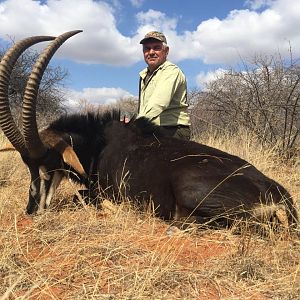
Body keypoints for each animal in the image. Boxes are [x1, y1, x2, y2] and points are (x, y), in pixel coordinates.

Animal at [0, 31, 298, 227]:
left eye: (50, 163)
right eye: (28, 166)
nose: (31, 210)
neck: (100, 143)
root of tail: (280, 195)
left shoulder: (104, 191)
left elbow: (79, 196)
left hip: (191, 192)